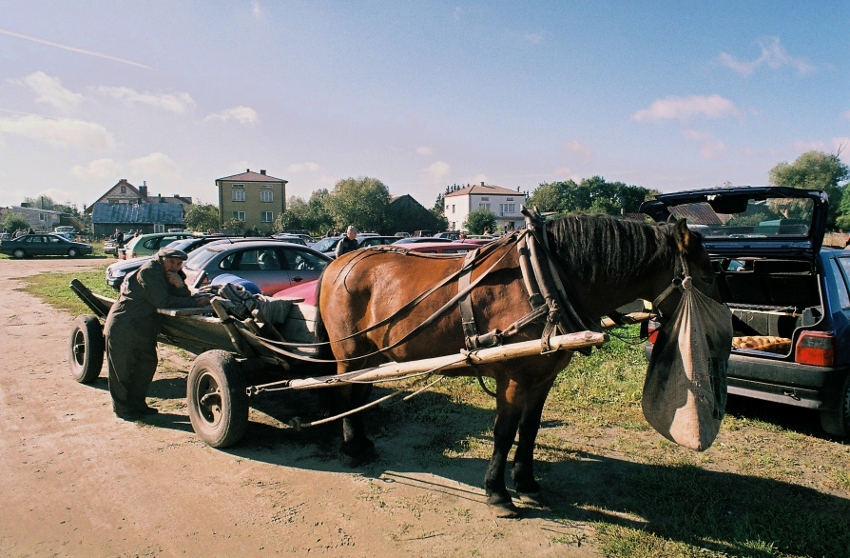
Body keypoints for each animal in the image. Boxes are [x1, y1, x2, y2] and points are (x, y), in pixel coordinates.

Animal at [314, 213, 720, 516]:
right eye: (706, 272)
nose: (721, 329)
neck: (543, 282)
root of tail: (339, 262)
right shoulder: (512, 380)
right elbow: (504, 433)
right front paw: (498, 493)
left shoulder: (542, 378)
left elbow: (530, 430)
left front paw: (526, 483)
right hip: (348, 353)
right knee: (347, 392)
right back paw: (351, 449)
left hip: (370, 356)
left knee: (361, 392)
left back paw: (362, 443)